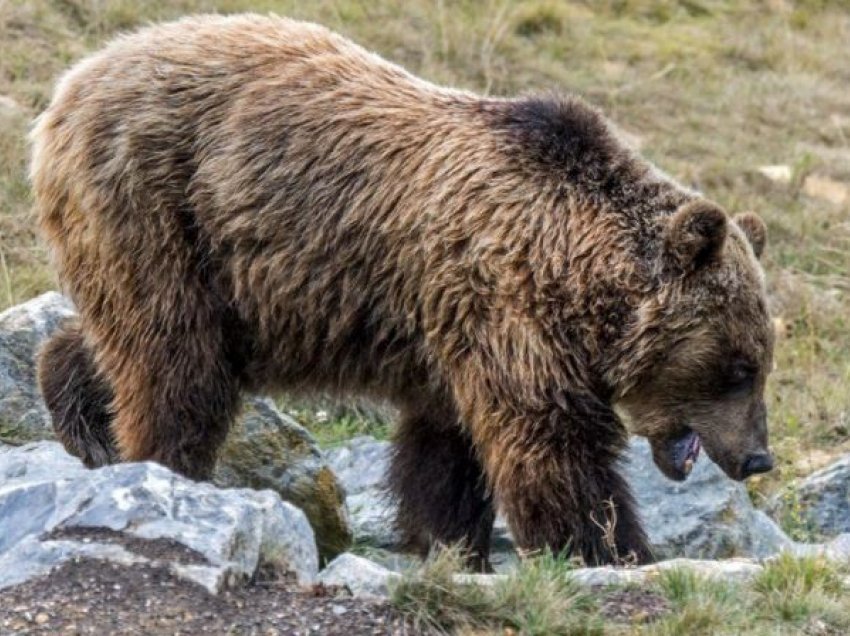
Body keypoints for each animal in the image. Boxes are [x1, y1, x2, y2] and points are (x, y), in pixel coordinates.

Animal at [31, 12, 776, 568]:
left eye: (761, 362)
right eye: (739, 366)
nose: (758, 457)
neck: (575, 273)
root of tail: (72, 82)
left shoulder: (450, 331)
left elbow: (445, 451)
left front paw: (452, 545)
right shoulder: (505, 309)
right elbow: (554, 445)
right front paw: (611, 548)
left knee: (127, 339)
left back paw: (83, 418)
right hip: (157, 204)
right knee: (176, 360)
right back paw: (162, 465)